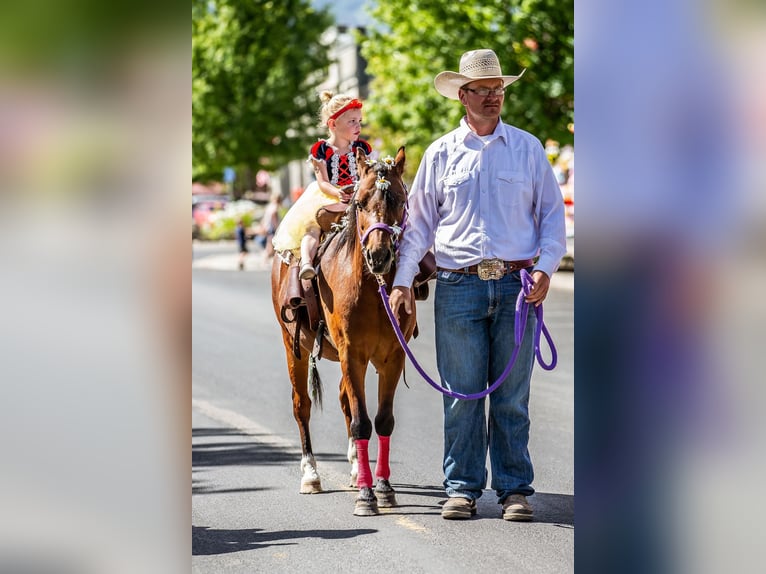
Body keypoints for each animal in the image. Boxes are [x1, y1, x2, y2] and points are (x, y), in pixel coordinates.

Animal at [270, 147, 414, 516]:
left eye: (400, 199)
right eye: (360, 203)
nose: (379, 255)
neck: (372, 286)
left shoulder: (392, 357)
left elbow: (382, 419)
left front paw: (382, 487)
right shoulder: (353, 353)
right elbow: (362, 420)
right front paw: (366, 496)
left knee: (344, 402)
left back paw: (354, 469)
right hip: (293, 346)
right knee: (302, 406)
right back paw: (311, 474)